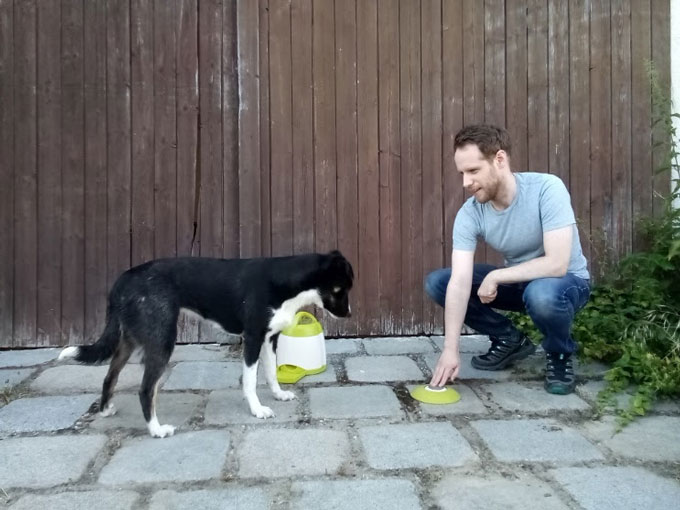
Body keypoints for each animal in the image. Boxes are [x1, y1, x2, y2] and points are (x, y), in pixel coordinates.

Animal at [58, 249, 354, 436]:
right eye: (341, 289)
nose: (349, 314)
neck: (286, 283)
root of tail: (124, 278)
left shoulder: (270, 338)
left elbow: (271, 373)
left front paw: (279, 395)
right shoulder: (252, 338)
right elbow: (250, 380)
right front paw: (257, 409)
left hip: (130, 339)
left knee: (110, 375)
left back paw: (106, 409)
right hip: (161, 341)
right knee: (145, 389)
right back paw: (156, 430)